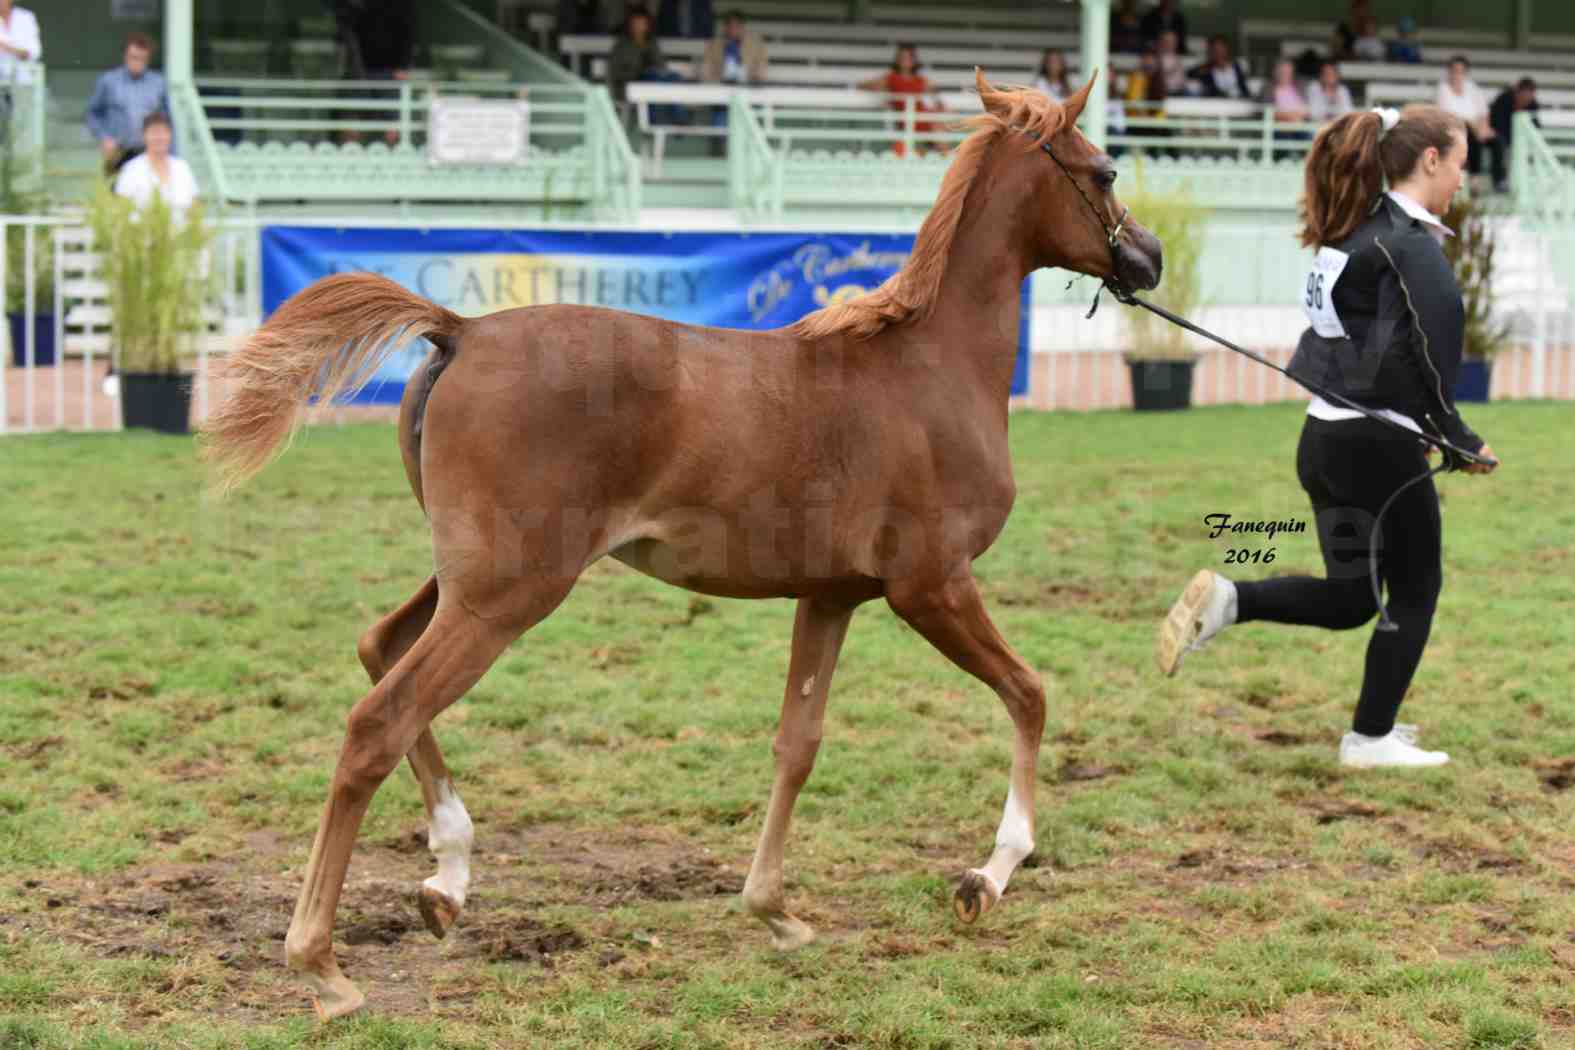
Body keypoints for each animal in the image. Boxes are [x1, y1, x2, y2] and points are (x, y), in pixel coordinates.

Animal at [200, 72, 1159, 1020]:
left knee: (380, 647)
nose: (1146, 258)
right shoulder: (932, 587)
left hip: (470, 582)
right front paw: (987, 876)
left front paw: (774, 912)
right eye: (1104, 171)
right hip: (508, 596)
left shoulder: (831, 595)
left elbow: (797, 742)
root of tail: (461, 329)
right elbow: (1029, 695)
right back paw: (322, 962)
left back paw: (448, 877)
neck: (926, 370)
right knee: (379, 721)